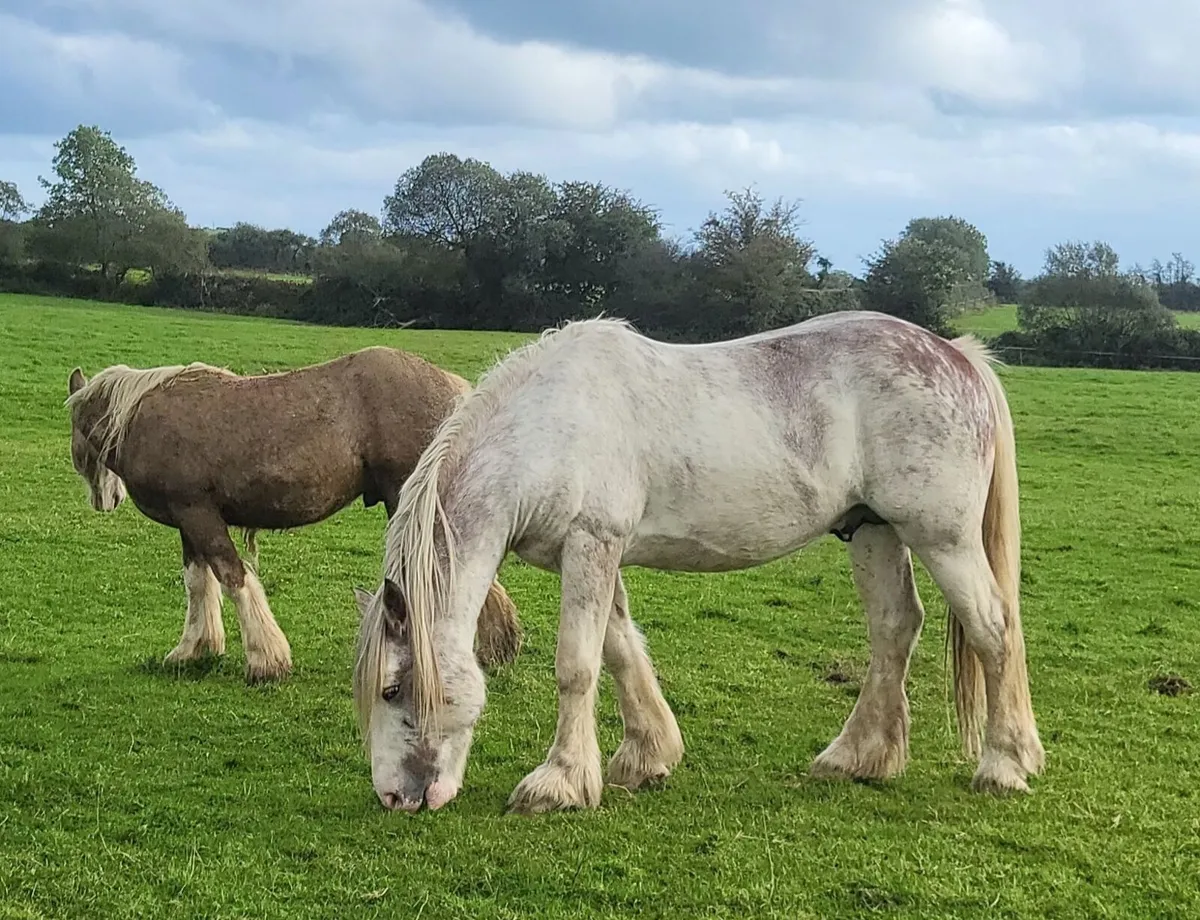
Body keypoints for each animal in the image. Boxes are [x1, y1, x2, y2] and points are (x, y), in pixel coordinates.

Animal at [66, 346, 524, 684]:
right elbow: (199, 583)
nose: (106, 499)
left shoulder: (199, 515)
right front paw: (193, 650)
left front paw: (265, 660)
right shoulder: (188, 521)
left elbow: (234, 579)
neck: (144, 416)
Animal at [351, 310, 1046, 815]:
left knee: (993, 629)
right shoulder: (597, 556)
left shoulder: (591, 544)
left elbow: (577, 665)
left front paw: (559, 783)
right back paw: (857, 758)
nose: (395, 797)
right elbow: (620, 648)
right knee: (894, 629)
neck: (548, 428)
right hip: (873, 531)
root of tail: (957, 354)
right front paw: (647, 757)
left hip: (943, 537)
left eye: (391, 688)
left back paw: (1004, 765)